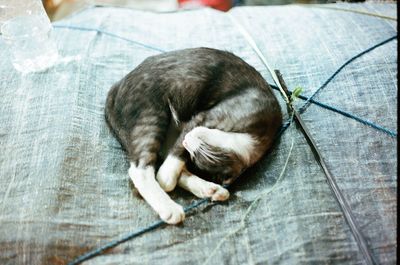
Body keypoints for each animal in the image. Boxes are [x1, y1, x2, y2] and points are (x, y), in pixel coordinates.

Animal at [104, 47, 282, 223]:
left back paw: (209, 189)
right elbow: (179, 150)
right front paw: (166, 177)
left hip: (165, 128)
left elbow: (179, 150)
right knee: (141, 169)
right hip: (150, 115)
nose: (189, 140)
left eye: (196, 156)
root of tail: (116, 87)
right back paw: (170, 208)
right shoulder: (201, 118)